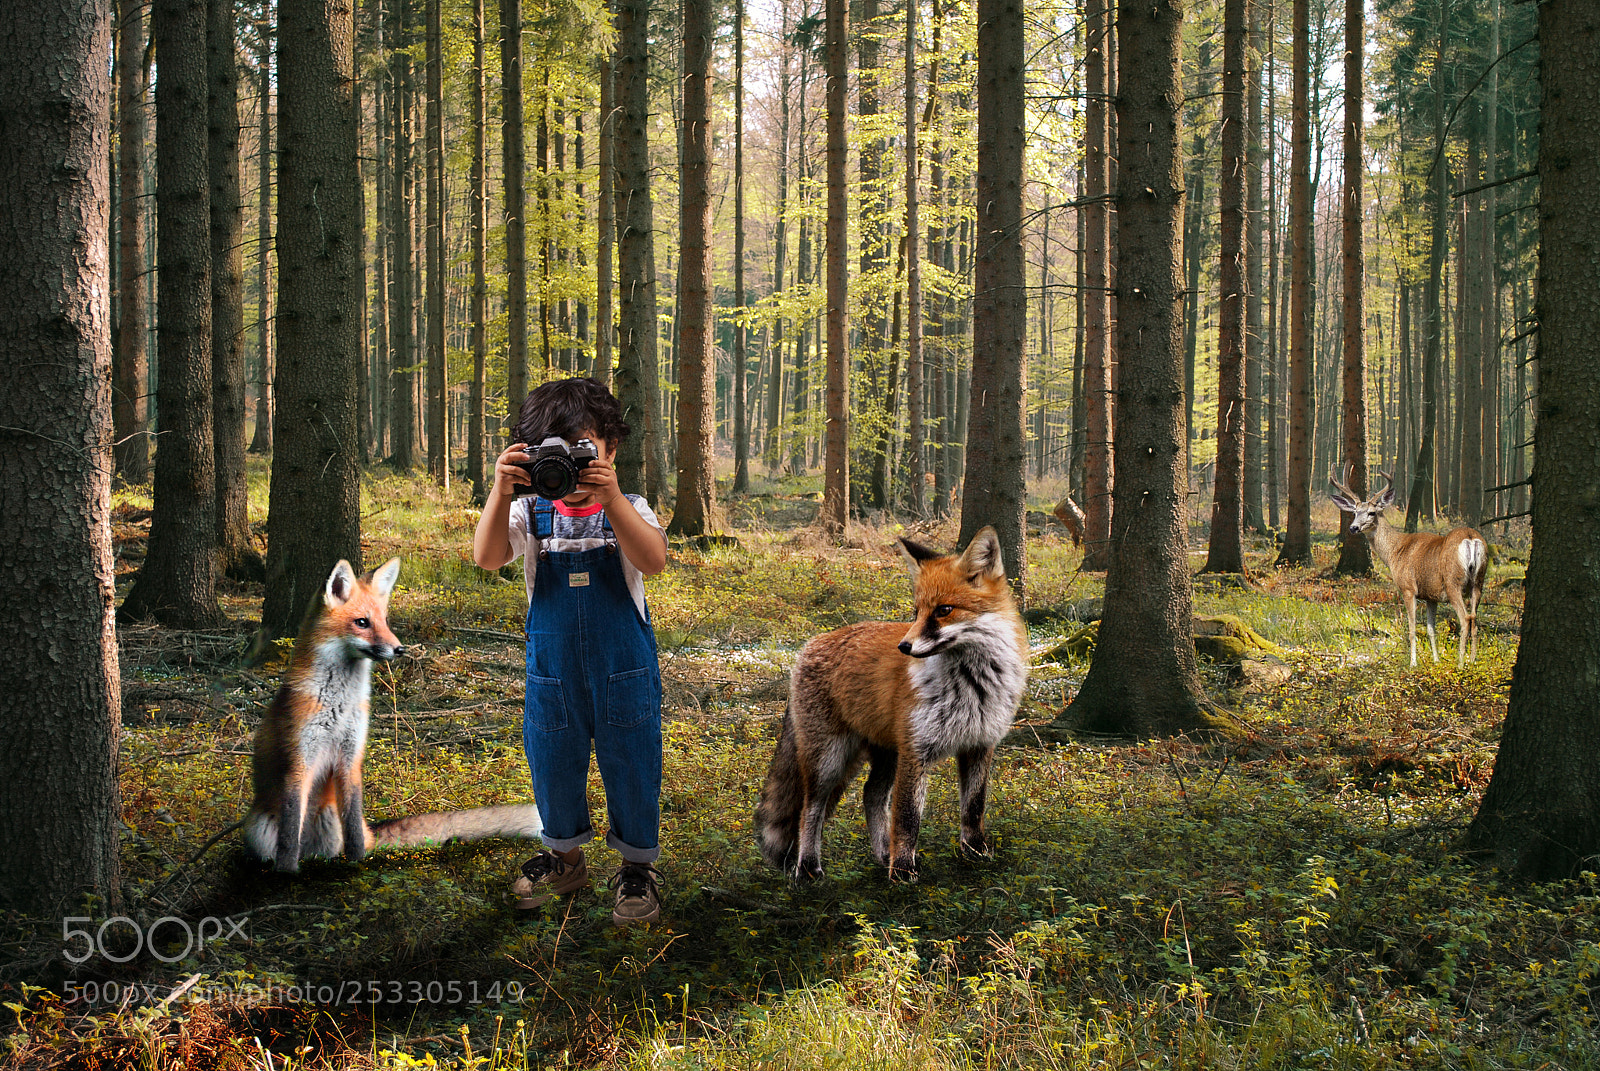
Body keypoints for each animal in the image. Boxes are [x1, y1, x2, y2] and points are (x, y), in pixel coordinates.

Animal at [245, 558, 543, 873]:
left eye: (385, 621)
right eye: (362, 622)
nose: (400, 649)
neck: (339, 703)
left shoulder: (351, 758)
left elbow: (353, 828)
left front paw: (357, 866)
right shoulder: (300, 760)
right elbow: (290, 835)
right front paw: (286, 873)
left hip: (330, 822)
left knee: (345, 841)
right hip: (258, 827)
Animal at [755, 526, 1029, 882]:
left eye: (943, 610)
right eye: (916, 612)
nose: (904, 646)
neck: (972, 685)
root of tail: (809, 645)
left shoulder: (979, 744)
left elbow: (973, 808)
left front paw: (976, 853)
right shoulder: (916, 750)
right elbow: (907, 817)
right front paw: (901, 871)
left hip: (886, 753)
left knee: (870, 795)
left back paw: (882, 854)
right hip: (829, 759)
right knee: (810, 808)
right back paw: (809, 867)